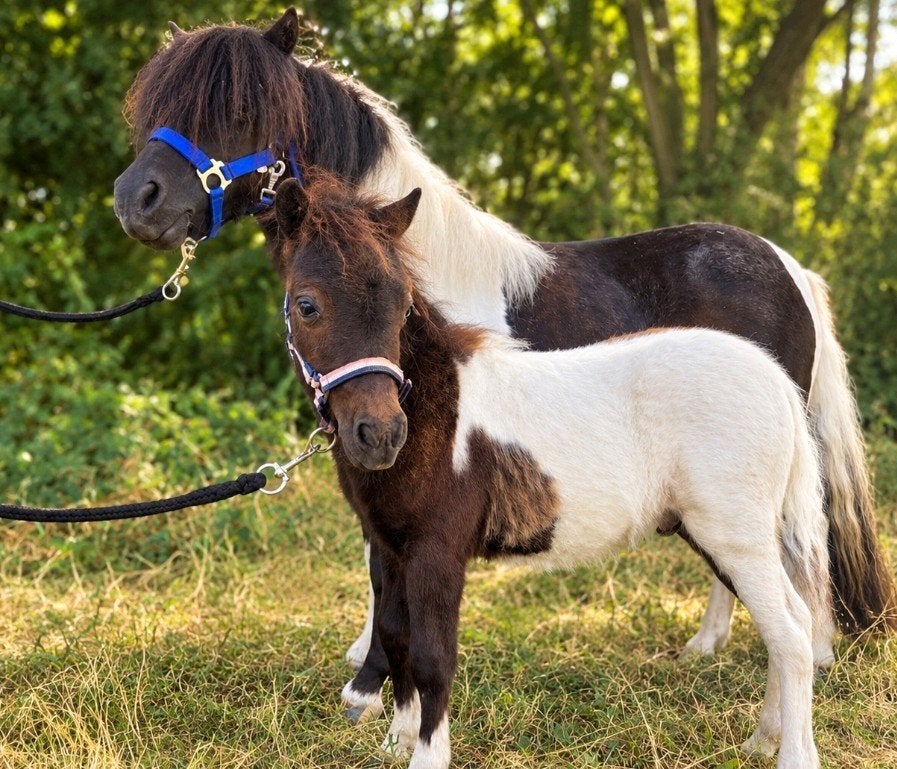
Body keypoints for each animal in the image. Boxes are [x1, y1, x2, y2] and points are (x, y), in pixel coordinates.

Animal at [273, 174, 835, 769]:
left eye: (402, 306)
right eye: (306, 305)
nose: (379, 434)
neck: (440, 410)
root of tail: (777, 383)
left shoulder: (436, 551)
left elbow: (432, 657)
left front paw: (427, 755)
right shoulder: (391, 546)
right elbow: (396, 635)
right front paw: (396, 741)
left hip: (736, 538)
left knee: (791, 634)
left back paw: (791, 752)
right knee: (793, 620)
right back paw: (762, 738)